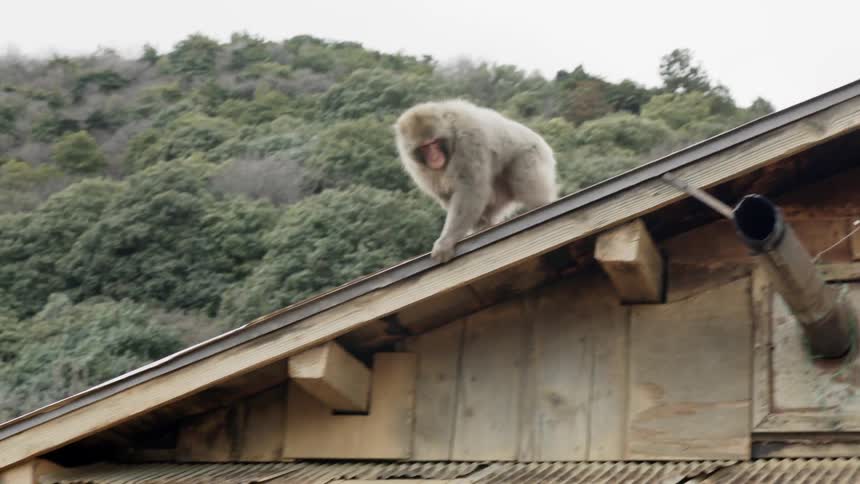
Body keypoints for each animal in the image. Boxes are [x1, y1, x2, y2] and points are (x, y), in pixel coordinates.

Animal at [393, 99, 558, 263]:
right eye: (424, 147)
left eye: (434, 143)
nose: (434, 158)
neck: (450, 133)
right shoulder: (415, 166)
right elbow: (445, 194)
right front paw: (477, 226)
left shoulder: (468, 140)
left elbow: (471, 188)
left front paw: (446, 240)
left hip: (531, 154)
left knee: (527, 187)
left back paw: (541, 204)